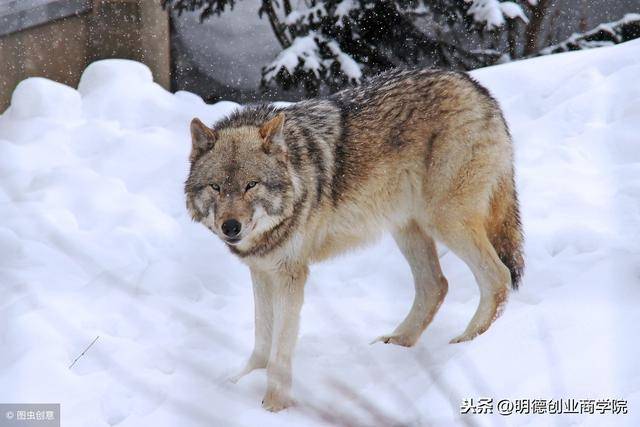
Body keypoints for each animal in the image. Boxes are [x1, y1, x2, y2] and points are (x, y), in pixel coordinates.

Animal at [182, 68, 524, 412]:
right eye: (216, 187)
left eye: (251, 185)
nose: (231, 227)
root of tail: (476, 88)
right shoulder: (262, 271)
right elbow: (262, 338)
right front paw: (243, 382)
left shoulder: (291, 274)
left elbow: (281, 346)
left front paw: (275, 405)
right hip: (407, 228)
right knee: (436, 285)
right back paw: (398, 342)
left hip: (445, 221)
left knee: (498, 277)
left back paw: (468, 343)